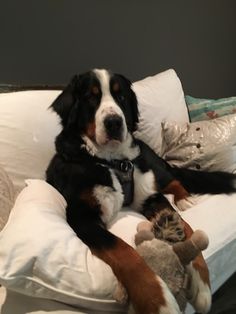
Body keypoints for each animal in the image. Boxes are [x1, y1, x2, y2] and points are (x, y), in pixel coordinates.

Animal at [46, 69, 236, 314]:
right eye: (90, 97)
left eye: (121, 97)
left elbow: (188, 228)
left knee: (173, 180)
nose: (114, 122)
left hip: (152, 165)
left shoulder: (149, 197)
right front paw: (158, 300)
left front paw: (202, 284)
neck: (113, 161)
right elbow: (125, 252)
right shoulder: (82, 217)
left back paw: (184, 198)